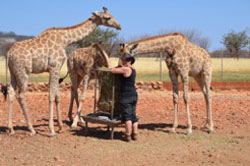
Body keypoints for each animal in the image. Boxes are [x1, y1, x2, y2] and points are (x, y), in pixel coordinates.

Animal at [2, 7, 121, 136]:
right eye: (107, 17)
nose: (119, 26)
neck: (64, 40)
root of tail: (9, 54)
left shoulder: (56, 69)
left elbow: (57, 96)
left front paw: (60, 127)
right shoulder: (54, 67)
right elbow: (51, 95)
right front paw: (52, 130)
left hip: (13, 73)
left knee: (11, 92)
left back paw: (11, 129)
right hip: (23, 72)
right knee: (21, 95)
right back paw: (31, 129)